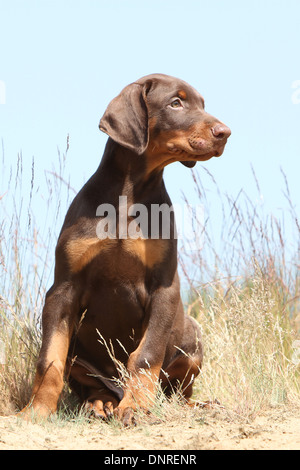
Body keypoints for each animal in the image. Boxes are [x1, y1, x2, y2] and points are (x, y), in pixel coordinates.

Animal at [22, 73, 231, 426]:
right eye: (176, 102)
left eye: (203, 104)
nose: (225, 133)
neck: (129, 195)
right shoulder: (63, 288)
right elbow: (49, 358)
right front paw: (36, 410)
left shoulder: (164, 287)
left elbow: (145, 357)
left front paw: (135, 407)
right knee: (94, 385)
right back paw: (101, 403)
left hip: (192, 336)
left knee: (176, 392)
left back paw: (191, 405)